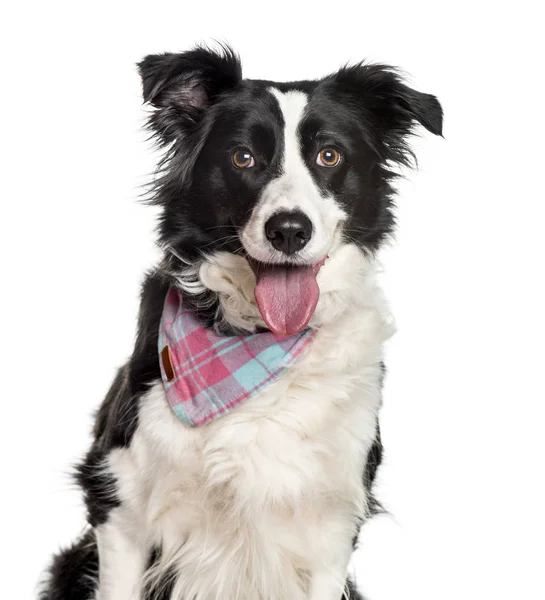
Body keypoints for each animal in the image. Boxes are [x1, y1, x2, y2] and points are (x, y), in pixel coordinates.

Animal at [41, 44, 442, 596]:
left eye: (330, 156)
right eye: (243, 157)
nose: (289, 230)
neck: (256, 341)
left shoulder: (332, 527)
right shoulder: (120, 506)